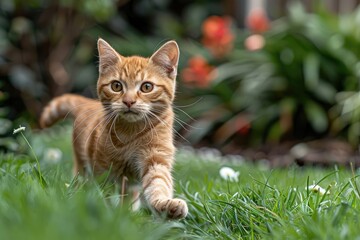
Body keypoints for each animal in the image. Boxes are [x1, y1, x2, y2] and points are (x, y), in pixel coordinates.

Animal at [40, 38, 188, 219]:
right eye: (116, 86)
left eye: (146, 87)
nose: (129, 101)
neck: (131, 132)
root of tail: (89, 104)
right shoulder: (103, 169)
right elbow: (107, 194)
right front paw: (109, 214)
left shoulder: (155, 157)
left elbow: (158, 183)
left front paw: (166, 205)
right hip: (83, 167)